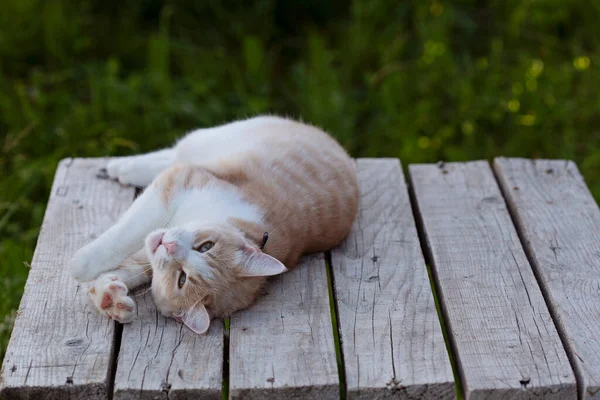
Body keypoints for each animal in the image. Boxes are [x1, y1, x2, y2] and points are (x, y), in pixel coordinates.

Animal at [70, 115, 360, 334]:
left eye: (181, 278)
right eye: (206, 246)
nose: (170, 245)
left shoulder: (153, 247)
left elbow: (133, 264)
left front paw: (109, 296)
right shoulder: (181, 182)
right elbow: (127, 232)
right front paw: (82, 264)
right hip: (215, 137)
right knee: (176, 152)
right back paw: (123, 166)